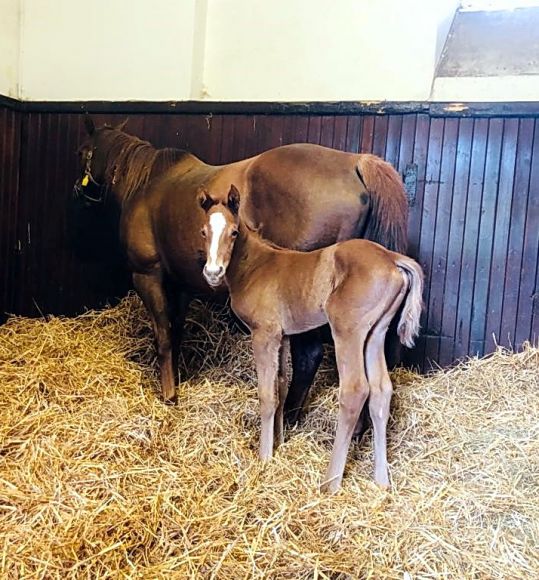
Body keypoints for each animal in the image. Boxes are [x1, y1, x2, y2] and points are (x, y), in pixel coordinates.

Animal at [200, 185, 424, 490]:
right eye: (203, 231)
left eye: (234, 232)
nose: (213, 273)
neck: (257, 266)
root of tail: (392, 258)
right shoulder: (282, 336)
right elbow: (281, 385)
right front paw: (279, 443)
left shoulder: (264, 334)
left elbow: (267, 395)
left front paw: (264, 457)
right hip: (374, 333)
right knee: (381, 391)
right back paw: (381, 482)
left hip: (347, 331)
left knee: (355, 390)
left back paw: (330, 482)